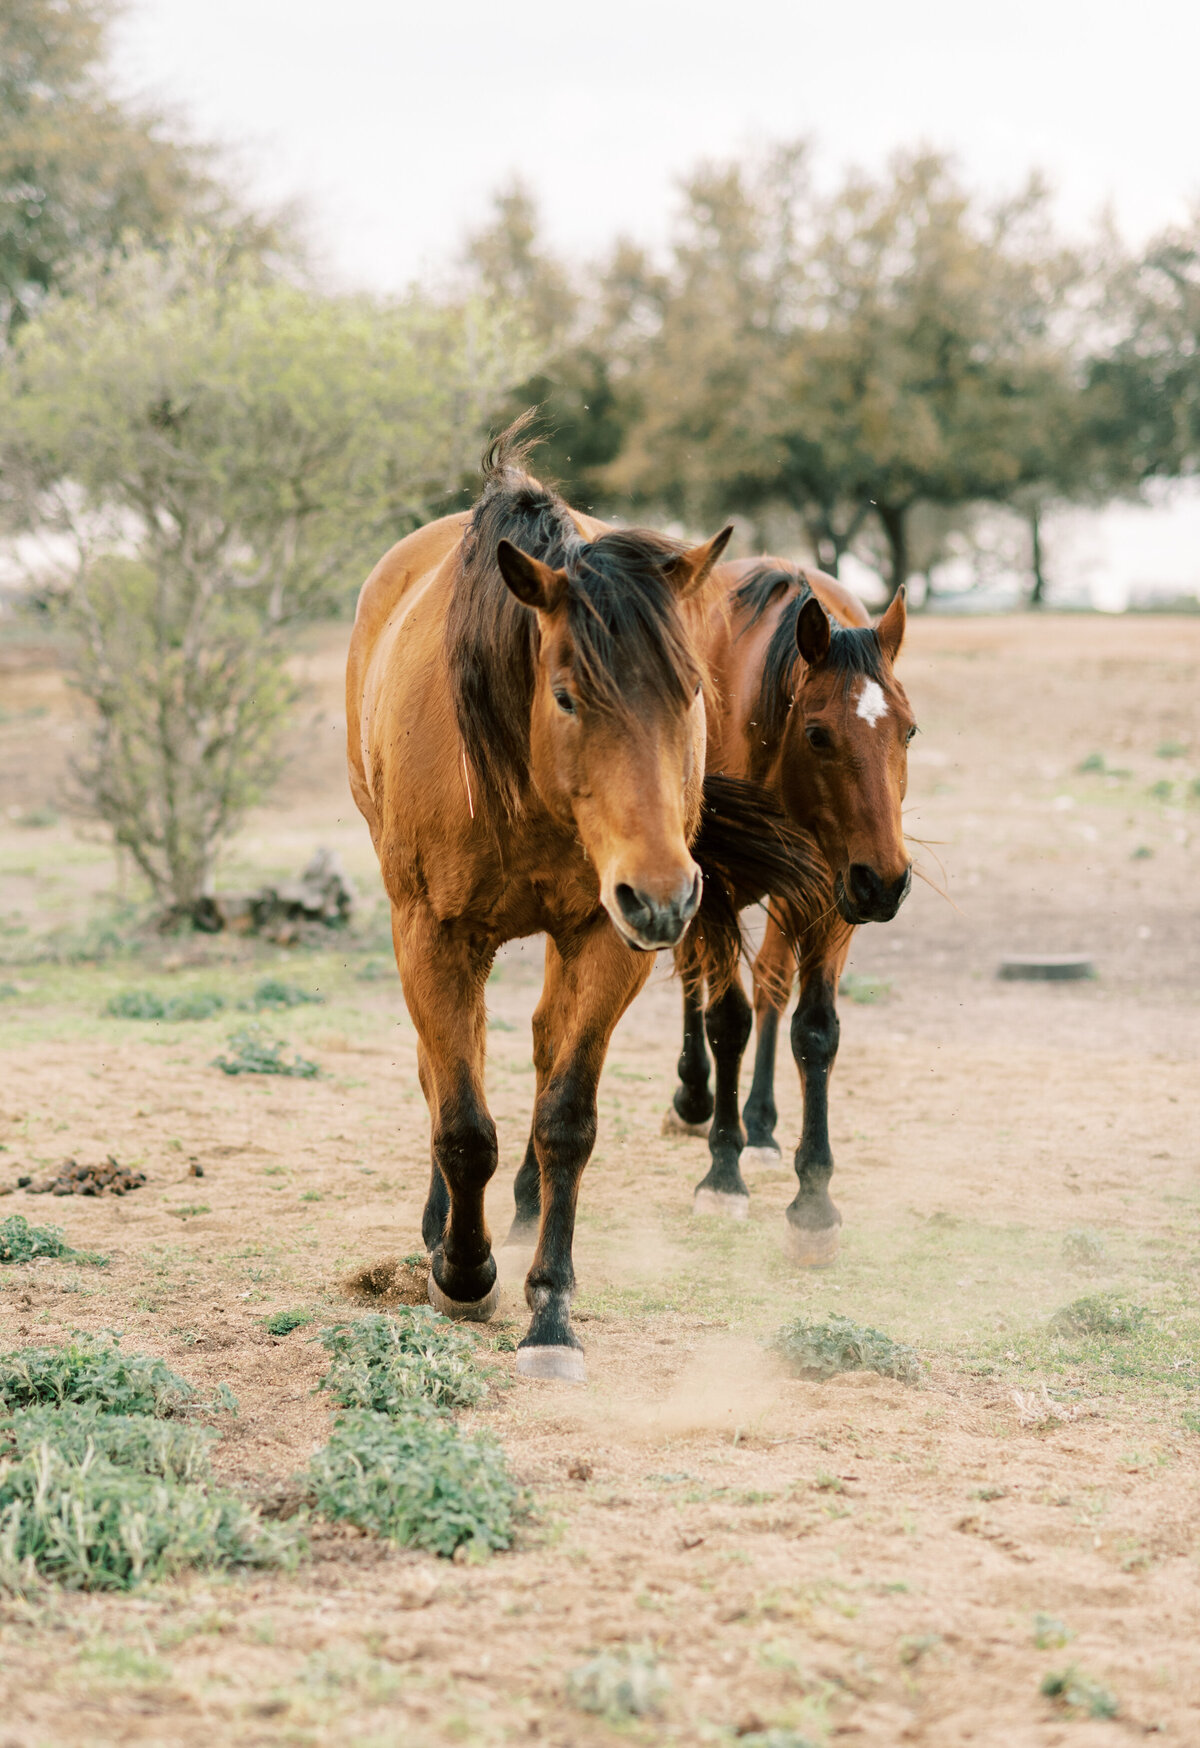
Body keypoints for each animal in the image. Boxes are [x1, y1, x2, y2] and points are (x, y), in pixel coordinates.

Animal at [342, 433, 822, 1377]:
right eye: (566, 694)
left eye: (690, 692)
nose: (668, 895)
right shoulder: (434, 937)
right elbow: (462, 1120)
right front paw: (463, 1273)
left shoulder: (605, 937)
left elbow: (566, 1120)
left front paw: (551, 1312)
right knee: (447, 1067)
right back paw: (441, 1227)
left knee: (532, 1052)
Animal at [668, 566, 923, 1265]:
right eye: (818, 735)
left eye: (909, 731)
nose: (887, 881)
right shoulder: (713, 889)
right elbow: (726, 1020)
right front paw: (721, 1174)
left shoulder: (833, 902)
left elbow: (814, 1032)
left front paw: (813, 1203)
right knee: (695, 981)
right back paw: (695, 1098)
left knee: (772, 987)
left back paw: (759, 1127)